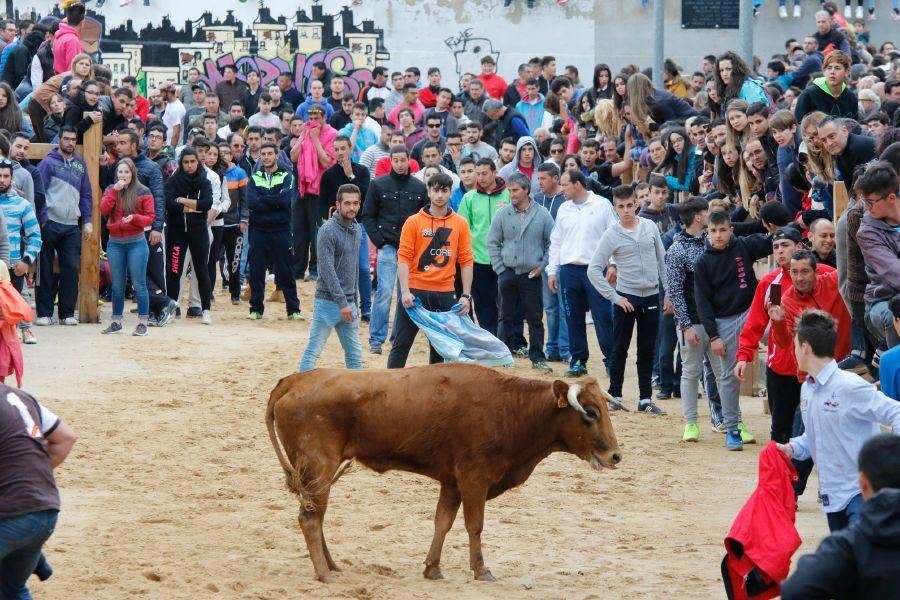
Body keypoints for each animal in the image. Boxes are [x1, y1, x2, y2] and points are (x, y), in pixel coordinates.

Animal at [264, 364, 624, 584]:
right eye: (590, 412)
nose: (615, 456)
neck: (510, 407)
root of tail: (294, 380)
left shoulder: (451, 482)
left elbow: (443, 522)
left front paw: (432, 567)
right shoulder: (474, 479)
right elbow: (474, 525)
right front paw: (480, 569)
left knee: (317, 516)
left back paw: (332, 566)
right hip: (319, 470)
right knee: (310, 519)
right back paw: (324, 574)